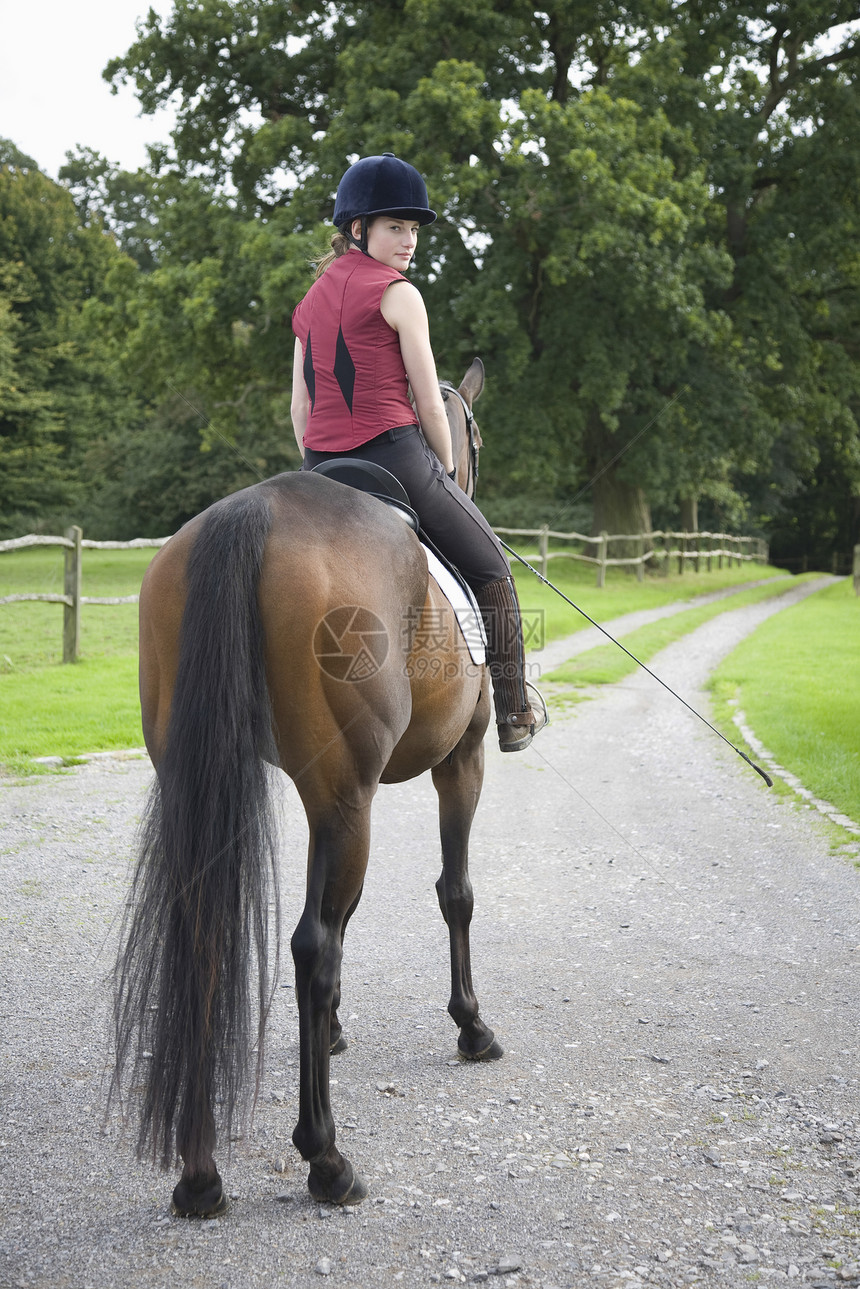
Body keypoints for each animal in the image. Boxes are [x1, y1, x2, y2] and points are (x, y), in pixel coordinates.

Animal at [114, 358, 505, 1211]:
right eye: (472, 432)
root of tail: (250, 512)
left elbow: (352, 912)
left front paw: (333, 1033)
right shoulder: (459, 760)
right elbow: (454, 892)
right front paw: (471, 1025)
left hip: (242, 785)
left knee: (211, 935)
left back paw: (200, 1174)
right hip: (347, 795)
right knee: (312, 946)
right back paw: (325, 1157)